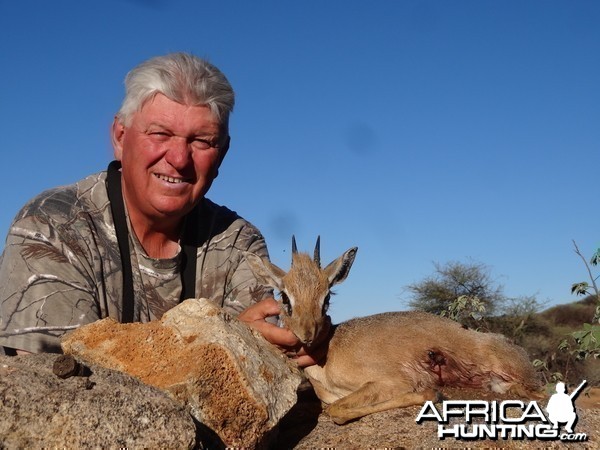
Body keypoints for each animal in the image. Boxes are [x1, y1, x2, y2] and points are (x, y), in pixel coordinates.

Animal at [241, 237, 540, 424]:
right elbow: (335, 408)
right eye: (284, 297)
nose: (307, 335)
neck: (327, 358)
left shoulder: (390, 382)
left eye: (326, 297)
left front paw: (431, 393)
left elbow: (336, 411)